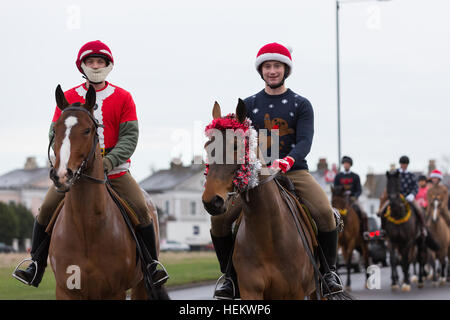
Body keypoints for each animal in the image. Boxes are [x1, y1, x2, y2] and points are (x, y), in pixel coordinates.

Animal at [47, 85, 168, 300]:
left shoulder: (114, 291)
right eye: (56, 130)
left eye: (87, 130)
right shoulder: (65, 290)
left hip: (141, 285)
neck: (86, 227)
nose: (61, 175)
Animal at [202, 100, 342, 300]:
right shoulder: (251, 291)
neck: (268, 234)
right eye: (207, 146)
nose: (211, 201)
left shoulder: (296, 292)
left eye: (236, 145)